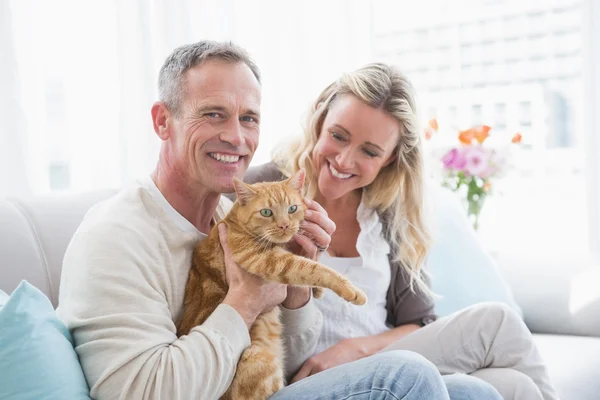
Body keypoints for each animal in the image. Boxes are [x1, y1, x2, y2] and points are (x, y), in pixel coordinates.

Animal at [176, 168, 368, 400]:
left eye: (292, 208)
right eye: (267, 212)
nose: (284, 225)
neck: (235, 223)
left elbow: (310, 265)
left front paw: (318, 291)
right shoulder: (269, 260)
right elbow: (312, 268)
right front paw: (351, 290)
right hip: (259, 358)